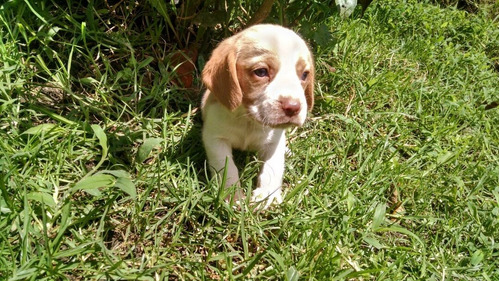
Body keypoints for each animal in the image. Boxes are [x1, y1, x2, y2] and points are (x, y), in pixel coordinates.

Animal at [201, 24, 314, 208]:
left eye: (304, 75)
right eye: (261, 72)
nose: (293, 107)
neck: (248, 120)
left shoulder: (274, 142)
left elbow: (273, 167)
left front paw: (267, 196)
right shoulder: (215, 138)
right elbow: (226, 167)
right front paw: (232, 196)